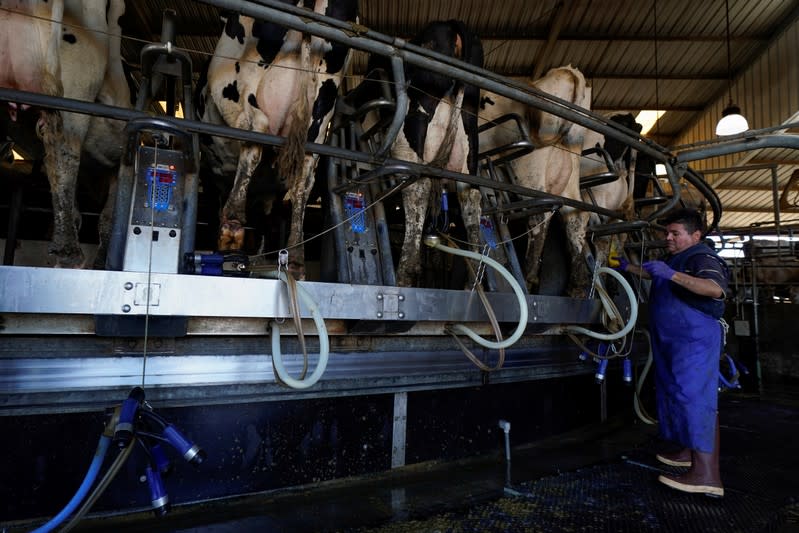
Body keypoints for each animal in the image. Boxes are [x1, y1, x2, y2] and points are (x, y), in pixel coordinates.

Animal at [195, 0, 358, 274]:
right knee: (304, 173)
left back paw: (232, 223)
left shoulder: (214, 180)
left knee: (255, 128)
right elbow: (266, 222)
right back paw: (295, 254)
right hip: (322, 105)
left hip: (235, 78)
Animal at [354, 19, 484, 286]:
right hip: (469, 134)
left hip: (412, 127)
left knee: (417, 186)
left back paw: (404, 275)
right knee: (471, 195)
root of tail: (451, 23)